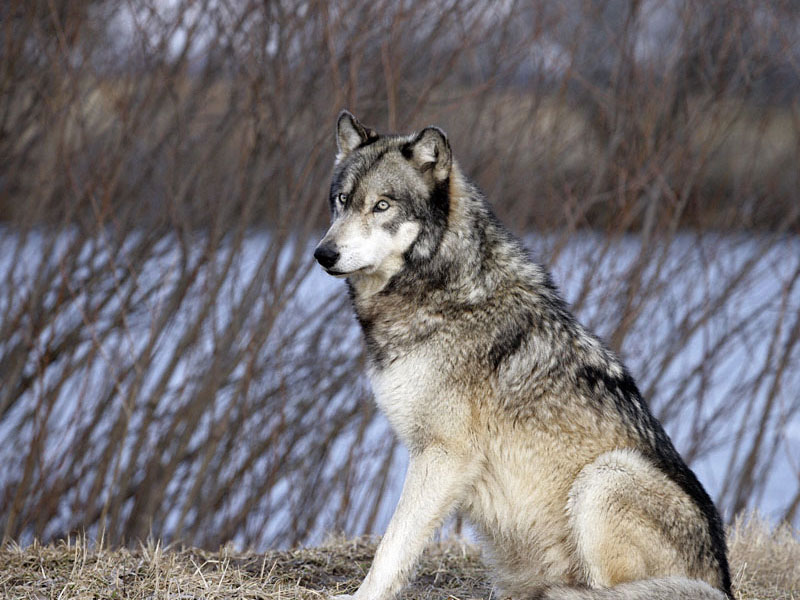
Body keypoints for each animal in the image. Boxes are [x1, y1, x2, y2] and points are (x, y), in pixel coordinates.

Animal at [312, 112, 732, 600]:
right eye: (342, 200)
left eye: (382, 206)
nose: (323, 253)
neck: (443, 288)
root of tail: (722, 585)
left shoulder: (442, 455)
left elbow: (391, 547)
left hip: (606, 476)